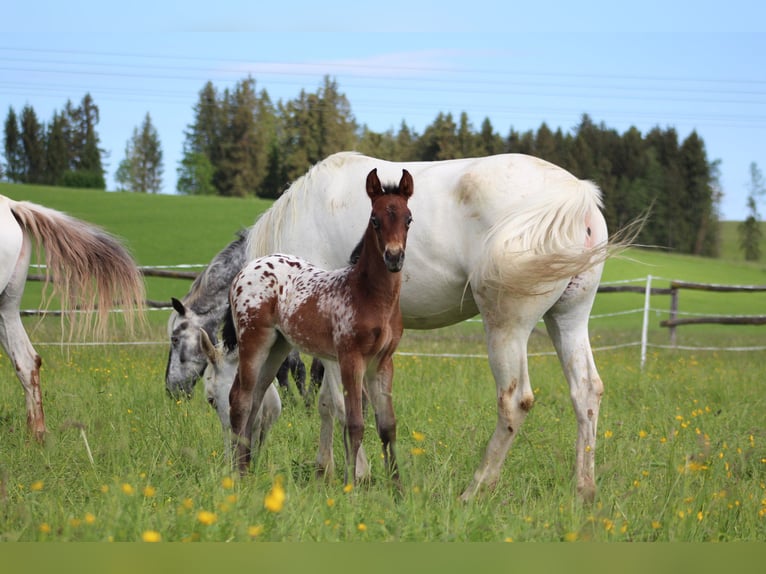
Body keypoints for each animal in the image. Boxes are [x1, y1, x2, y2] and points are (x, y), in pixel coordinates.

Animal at [226, 168, 414, 485]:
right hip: (252, 339)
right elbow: (354, 423)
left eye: (408, 218)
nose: (394, 257)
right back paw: (237, 475)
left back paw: (247, 469)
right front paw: (352, 485)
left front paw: (398, 489)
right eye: (375, 220)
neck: (366, 294)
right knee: (240, 399)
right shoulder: (350, 358)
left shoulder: (382, 362)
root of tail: (246, 269)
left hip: (278, 346)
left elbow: (388, 426)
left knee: (256, 399)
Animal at [246, 151, 615, 502]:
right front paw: (325, 469)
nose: (247, 452)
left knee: (514, 402)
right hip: (568, 318)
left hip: (506, 328)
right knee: (586, 391)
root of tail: (575, 194)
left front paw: (358, 475)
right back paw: (583, 491)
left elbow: (341, 404)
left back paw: (474, 490)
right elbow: (328, 403)